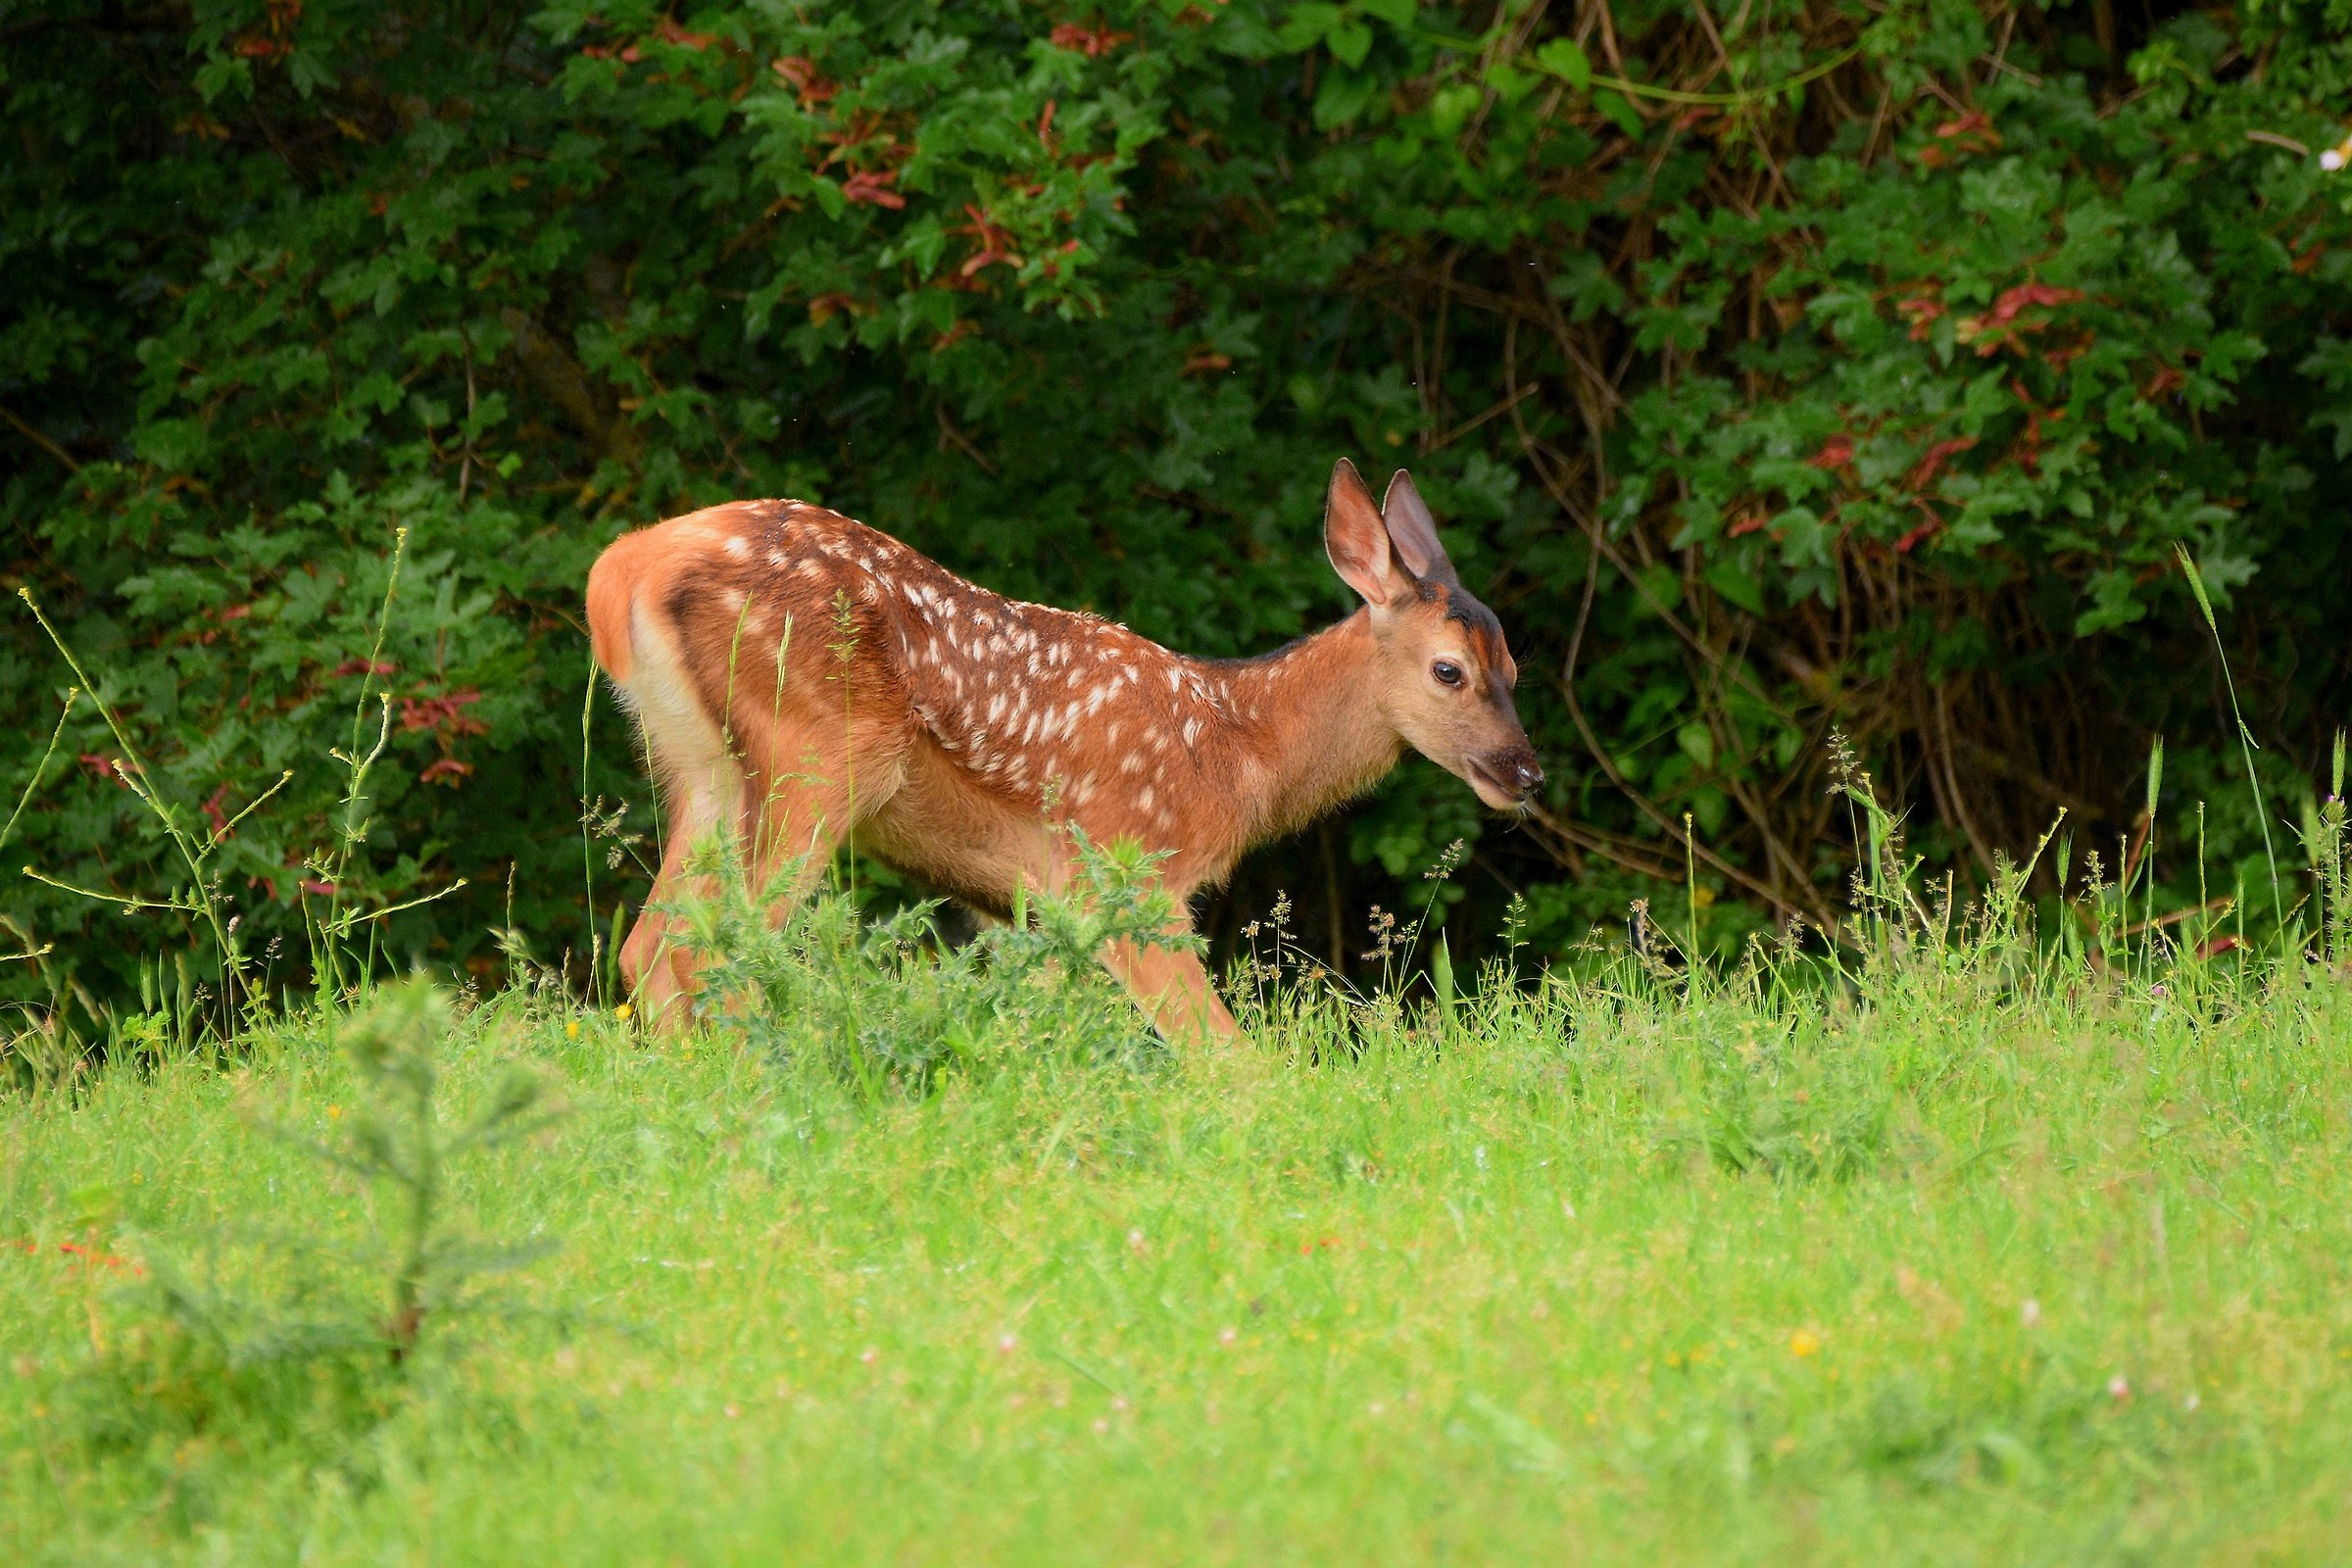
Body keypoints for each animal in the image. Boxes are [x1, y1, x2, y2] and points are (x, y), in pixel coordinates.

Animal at [585, 457, 1542, 1042]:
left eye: (1516, 667)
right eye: (1450, 670)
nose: (1525, 772)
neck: (1236, 748)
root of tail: (624, 568)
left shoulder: (1042, 911)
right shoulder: (1127, 876)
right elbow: (1225, 1054)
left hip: (703, 768)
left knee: (647, 947)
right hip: (820, 753)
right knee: (709, 950)